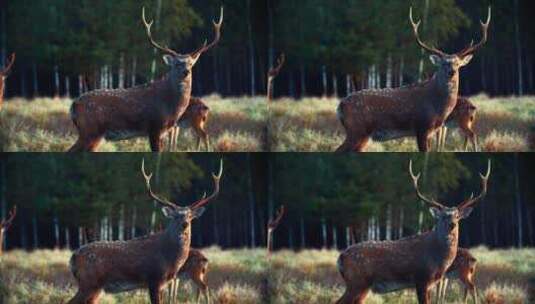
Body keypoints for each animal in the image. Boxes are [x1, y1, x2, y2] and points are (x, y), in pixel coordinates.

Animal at [67, 159, 224, 304]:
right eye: (176, 216)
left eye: (190, 216)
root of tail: (73, 257)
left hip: (96, 288)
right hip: (89, 283)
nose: (184, 224)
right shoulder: (154, 279)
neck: (170, 258)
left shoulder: (164, 283)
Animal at [69, 5, 224, 151]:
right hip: (90, 131)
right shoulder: (155, 128)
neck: (170, 106)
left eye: (191, 63)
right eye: (177, 64)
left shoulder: (165, 130)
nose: (186, 72)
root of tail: (73, 105)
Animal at [338, 7, 492, 152]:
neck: (437, 107)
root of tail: (340, 106)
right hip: (357, 131)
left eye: (458, 64)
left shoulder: (432, 131)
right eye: (443, 63)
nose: (452, 72)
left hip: (362, 135)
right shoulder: (422, 127)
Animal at [338, 159, 492, 304]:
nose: (452, 224)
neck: (438, 259)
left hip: (362, 286)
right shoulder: (421, 279)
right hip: (357, 282)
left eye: (457, 216)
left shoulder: (431, 283)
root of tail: (340, 258)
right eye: (443, 216)